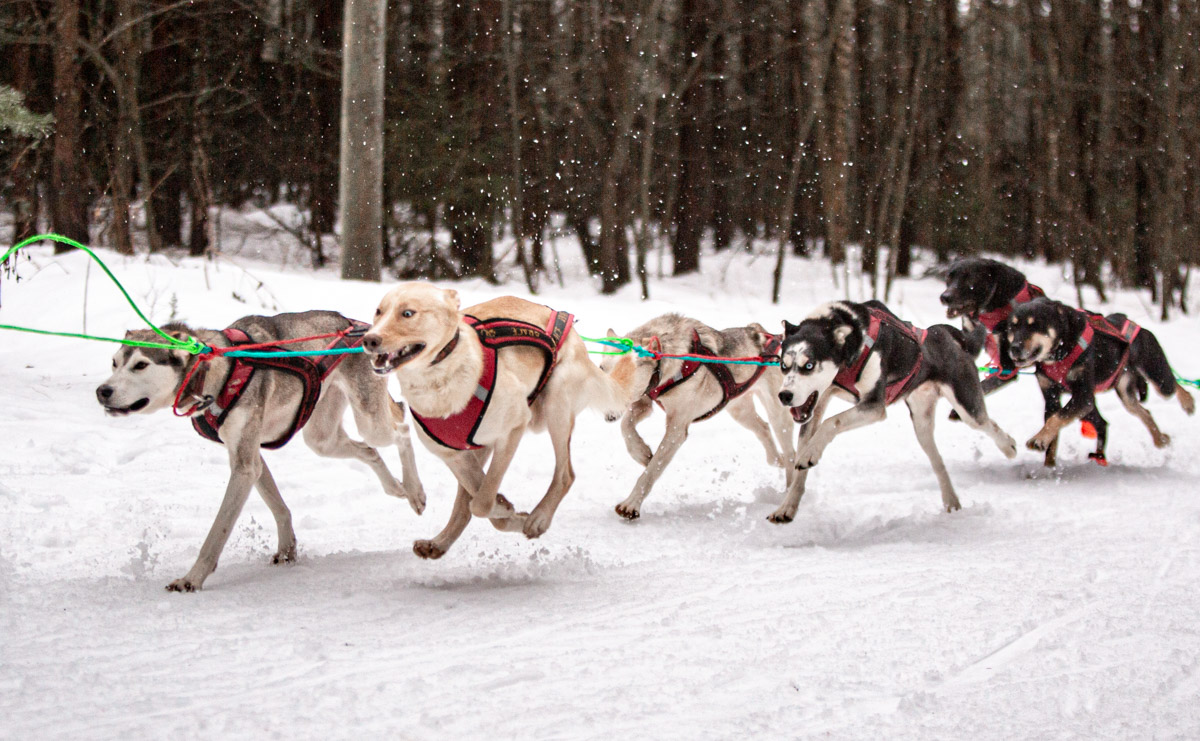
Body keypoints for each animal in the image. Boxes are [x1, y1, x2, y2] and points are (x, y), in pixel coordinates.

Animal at [98, 309, 427, 592]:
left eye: (141, 365)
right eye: (114, 363)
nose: (102, 391)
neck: (218, 371)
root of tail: (357, 325)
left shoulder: (244, 467)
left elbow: (216, 533)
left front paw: (191, 579)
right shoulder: (249, 457)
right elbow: (279, 506)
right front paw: (287, 548)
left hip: (370, 419)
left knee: (401, 425)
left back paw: (415, 491)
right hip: (322, 439)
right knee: (369, 450)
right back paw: (395, 487)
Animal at [362, 279, 643, 556]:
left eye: (408, 313)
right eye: (378, 311)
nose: (369, 340)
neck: (439, 382)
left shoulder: (512, 430)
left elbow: (482, 503)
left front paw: (512, 512)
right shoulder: (454, 456)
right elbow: (477, 499)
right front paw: (508, 511)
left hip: (556, 404)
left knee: (565, 475)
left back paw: (539, 518)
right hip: (480, 447)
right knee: (465, 503)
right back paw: (440, 542)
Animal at [600, 314, 796, 515]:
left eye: (624, 378)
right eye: (601, 369)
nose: (604, 409)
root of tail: (766, 335)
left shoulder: (676, 430)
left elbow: (652, 470)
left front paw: (631, 504)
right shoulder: (644, 403)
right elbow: (626, 427)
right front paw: (641, 452)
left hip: (778, 413)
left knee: (791, 453)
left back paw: (789, 491)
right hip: (740, 410)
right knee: (764, 429)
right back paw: (776, 459)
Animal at [772, 298, 1017, 520]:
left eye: (809, 365)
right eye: (783, 365)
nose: (784, 396)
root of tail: (947, 335)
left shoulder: (874, 406)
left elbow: (832, 422)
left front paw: (811, 452)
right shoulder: (815, 406)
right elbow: (802, 461)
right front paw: (786, 507)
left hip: (967, 406)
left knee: (986, 423)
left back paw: (1009, 446)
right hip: (921, 425)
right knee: (937, 461)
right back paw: (951, 501)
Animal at [1003, 296, 1190, 465]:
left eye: (1034, 325)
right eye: (1012, 326)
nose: (1014, 348)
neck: (1059, 354)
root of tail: (1138, 327)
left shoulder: (1084, 398)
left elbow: (1056, 418)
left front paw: (1038, 440)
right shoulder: (1051, 397)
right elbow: (1052, 428)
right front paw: (1049, 465)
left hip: (1159, 380)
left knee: (1174, 384)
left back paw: (1188, 402)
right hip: (1126, 394)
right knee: (1144, 411)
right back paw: (1160, 439)